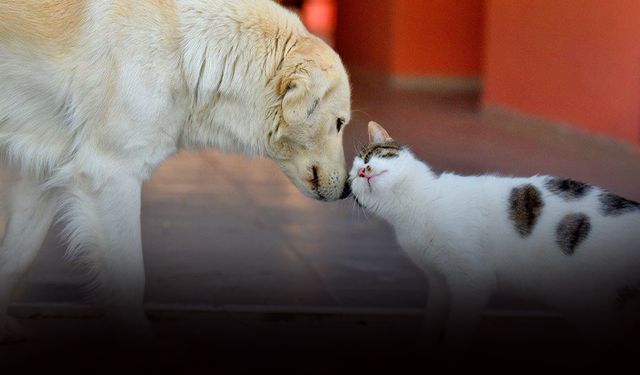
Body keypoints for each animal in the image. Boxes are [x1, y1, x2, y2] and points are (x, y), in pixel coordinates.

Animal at [0, 0, 350, 342]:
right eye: (339, 123)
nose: (348, 189)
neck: (188, 47)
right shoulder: (112, 175)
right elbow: (130, 280)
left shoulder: (42, 173)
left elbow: (17, 256)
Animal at [350, 121, 640, 352]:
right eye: (353, 179)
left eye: (372, 156)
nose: (363, 171)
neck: (414, 206)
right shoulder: (439, 279)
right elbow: (433, 317)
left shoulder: (472, 279)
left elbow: (457, 327)